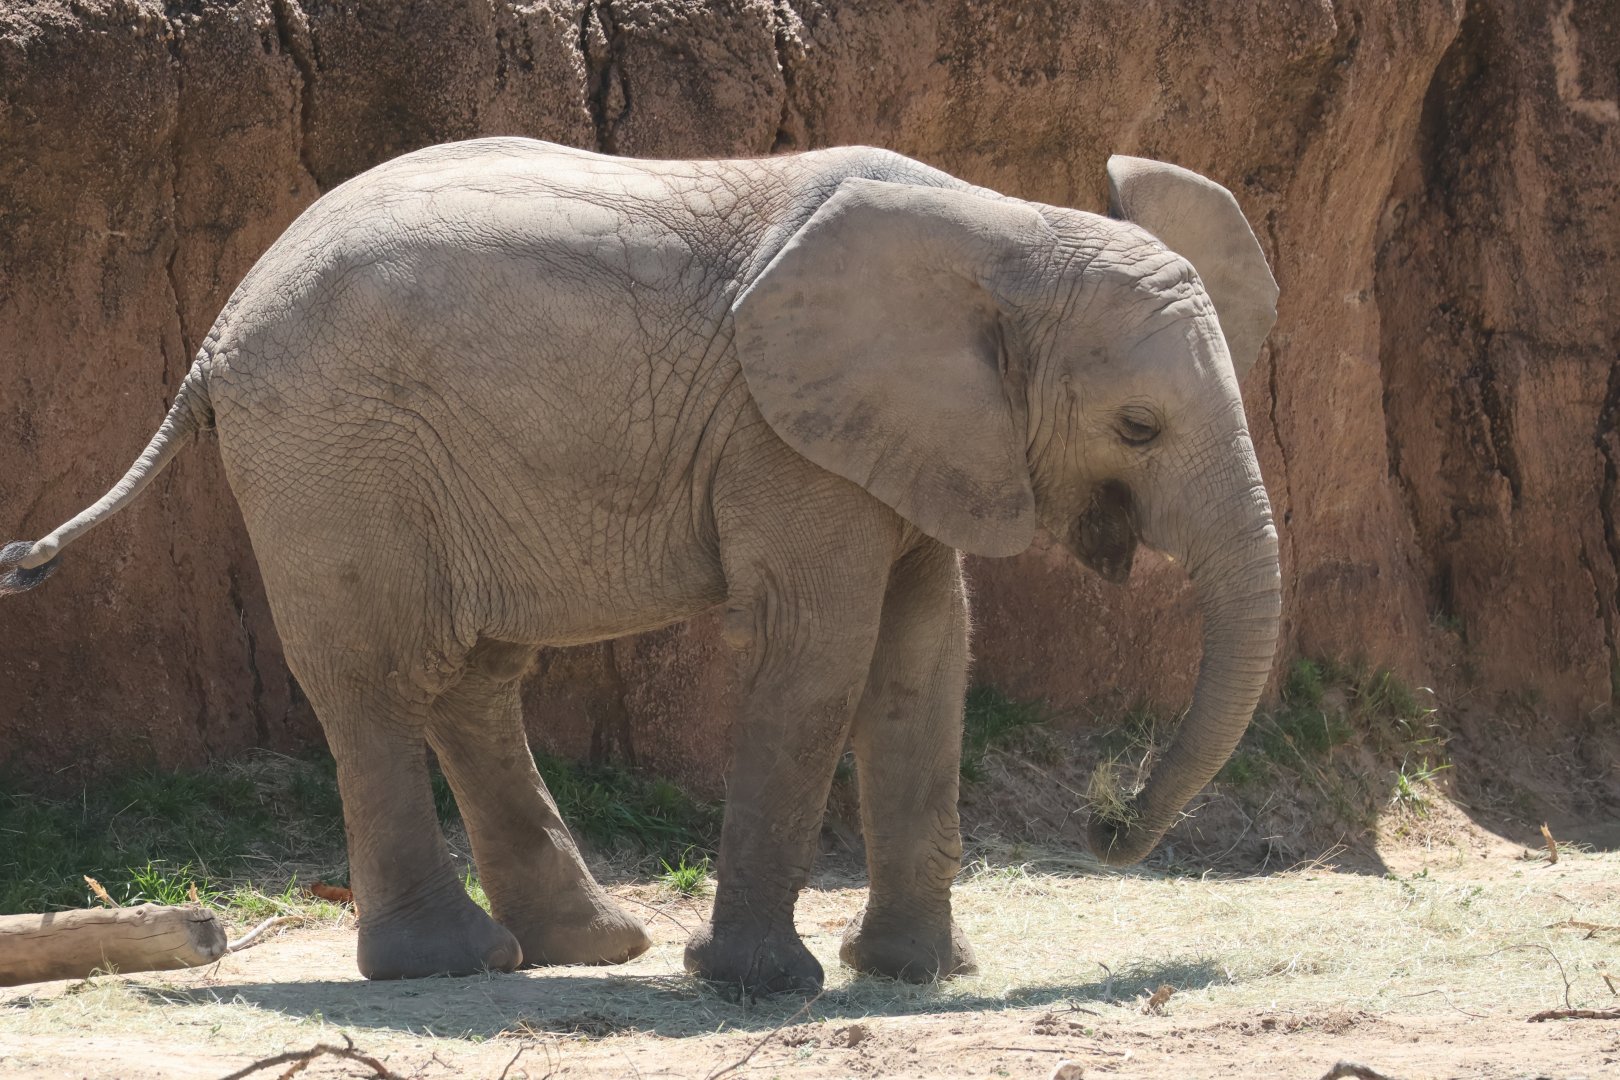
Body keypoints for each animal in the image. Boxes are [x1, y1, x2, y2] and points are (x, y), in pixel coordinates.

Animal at [0, 138, 1281, 995]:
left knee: (474, 679)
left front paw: (914, 974)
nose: (1110, 827)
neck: (1007, 233)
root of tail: (214, 335)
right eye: (1138, 428)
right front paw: (759, 985)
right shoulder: (784, 435)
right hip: (331, 452)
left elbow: (924, 658)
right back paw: (453, 965)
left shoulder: (909, 437)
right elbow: (820, 653)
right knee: (376, 678)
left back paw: (588, 946)